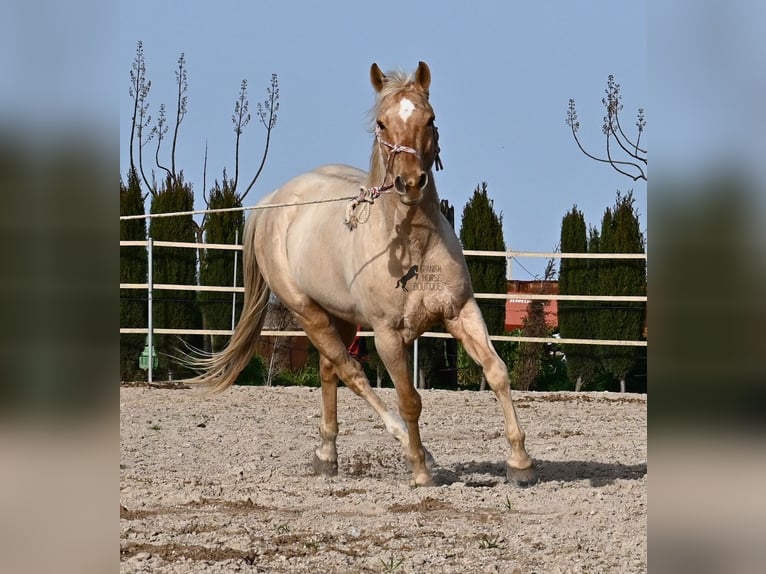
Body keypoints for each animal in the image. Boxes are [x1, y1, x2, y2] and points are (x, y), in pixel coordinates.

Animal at [189, 61, 536, 487]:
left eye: (430, 118)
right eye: (382, 123)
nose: (410, 183)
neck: (412, 246)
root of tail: (274, 202)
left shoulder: (461, 312)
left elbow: (497, 372)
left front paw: (520, 462)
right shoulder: (387, 335)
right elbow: (408, 399)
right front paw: (420, 469)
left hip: (340, 317)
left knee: (328, 372)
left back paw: (327, 455)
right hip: (308, 312)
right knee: (351, 373)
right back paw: (412, 451)